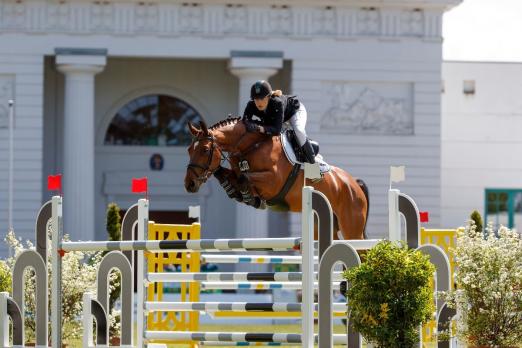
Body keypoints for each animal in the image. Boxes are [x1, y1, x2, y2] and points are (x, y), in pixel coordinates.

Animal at [183, 118, 370, 241]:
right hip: (323, 225)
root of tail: (354, 183)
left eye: (205, 150)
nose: (189, 184)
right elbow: (227, 175)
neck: (251, 146)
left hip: (351, 227)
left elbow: (244, 178)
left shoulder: (273, 182)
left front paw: (251, 198)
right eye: (189, 150)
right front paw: (237, 193)